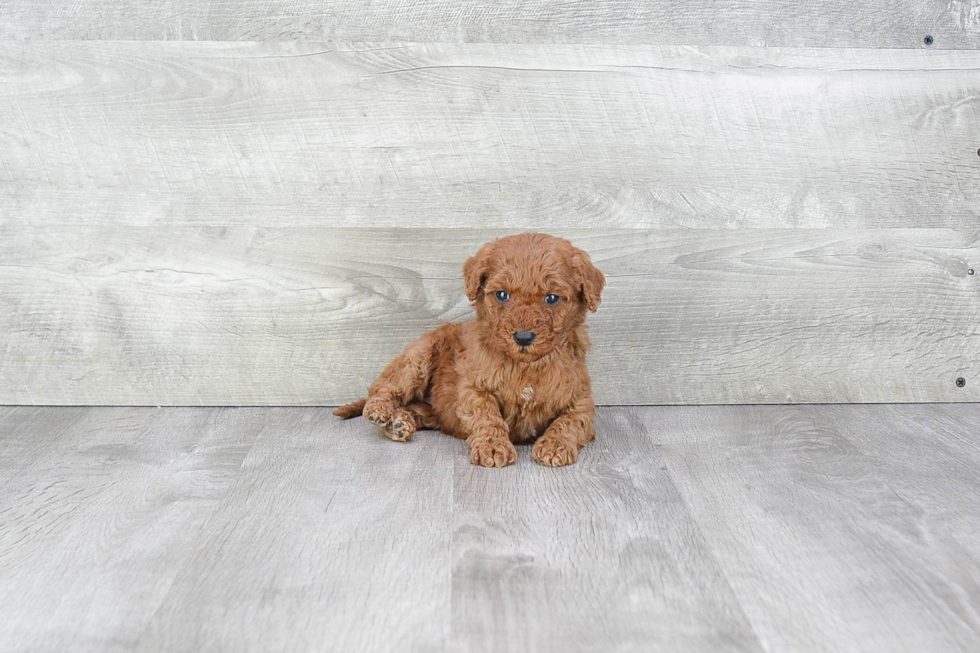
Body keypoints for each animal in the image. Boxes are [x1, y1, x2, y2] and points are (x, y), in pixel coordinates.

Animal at [334, 232, 600, 466]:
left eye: (552, 298)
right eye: (502, 295)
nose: (523, 337)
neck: (525, 366)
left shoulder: (581, 400)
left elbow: (569, 422)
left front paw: (555, 446)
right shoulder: (474, 387)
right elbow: (487, 416)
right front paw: (493, 447)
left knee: (418, 409)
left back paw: (400, 423)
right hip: (418, 357)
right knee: (384, 386)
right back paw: (380, 410)